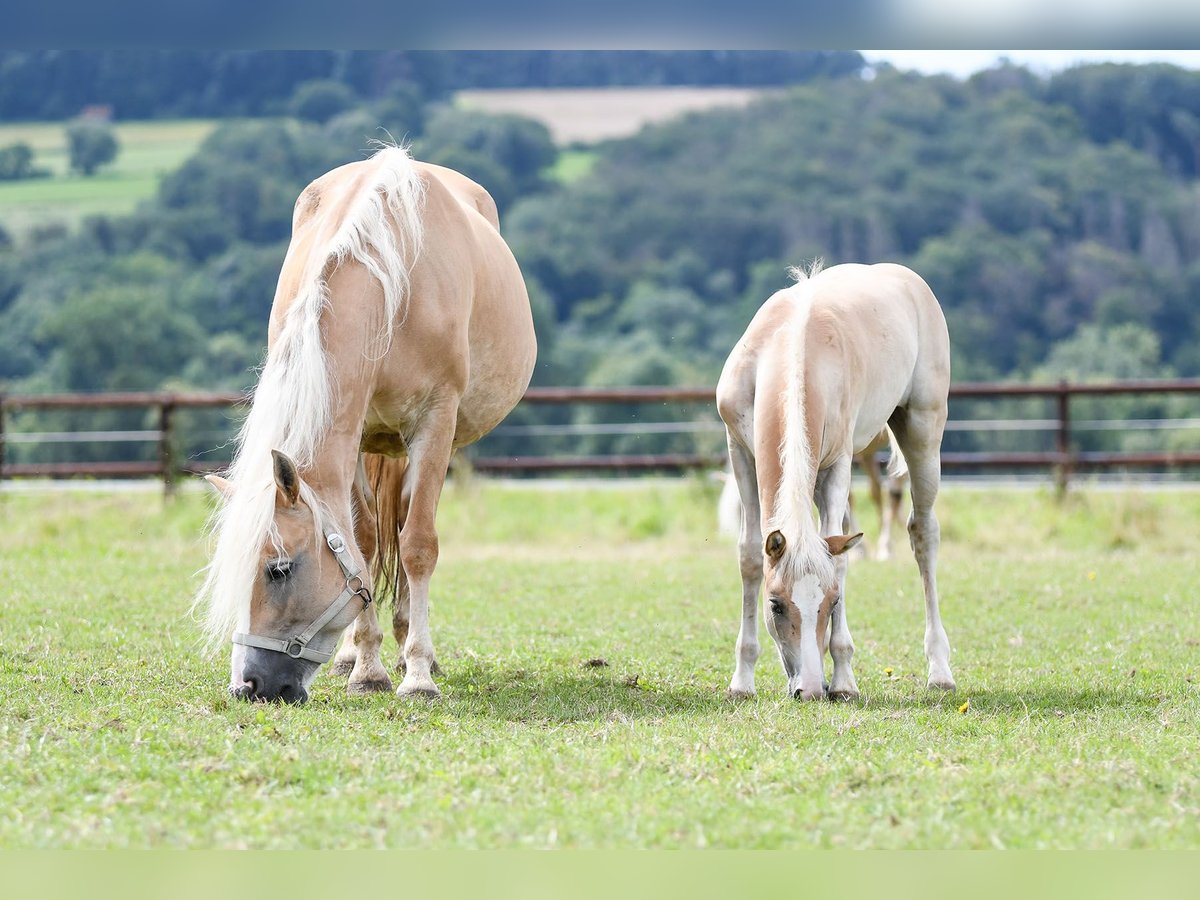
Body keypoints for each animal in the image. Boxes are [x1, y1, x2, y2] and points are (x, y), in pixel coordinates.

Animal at [195, 146, 537, 704]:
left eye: (278, 569)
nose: (249, 685)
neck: (393, 288)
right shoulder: (353, 435)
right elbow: (364, 544)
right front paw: (367, 668)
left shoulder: (435, 423)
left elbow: (418, 545)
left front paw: (416, 674)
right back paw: (354, 654)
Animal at [716, 261, 954, 701]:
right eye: (775, 604)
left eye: (833, 601)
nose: (811, 689)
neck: (792, 346)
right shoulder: (739, 452)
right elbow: (750, 556)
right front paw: (742, 680)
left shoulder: (839, 463)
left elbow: (840, 558)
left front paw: (843, 679)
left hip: (923, 427)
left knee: (923, 533)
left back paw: (940, 670)